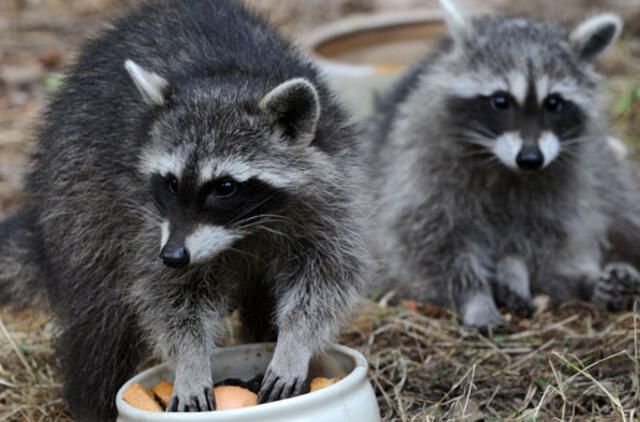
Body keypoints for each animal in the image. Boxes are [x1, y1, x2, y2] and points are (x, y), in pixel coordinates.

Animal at [0, 1, 368, 420]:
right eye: (172, 183)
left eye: (225, 187)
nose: (174, 256)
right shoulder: (150, 221)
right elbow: (171, 298)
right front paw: (190, 362)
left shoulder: (332, 195)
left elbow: (324, 279)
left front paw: (294, 343)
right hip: (78, 195)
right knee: (100, 322)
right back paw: (92, 398)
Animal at [368, 0, 640, 330]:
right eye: (501, 101)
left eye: (553, 103)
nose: (531, 159)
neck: (505, 166)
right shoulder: (421, 168)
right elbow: (432, 240)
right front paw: (476, 297)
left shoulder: (566, 176)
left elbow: (532, 236)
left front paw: (514, 271)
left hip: (604, 169)